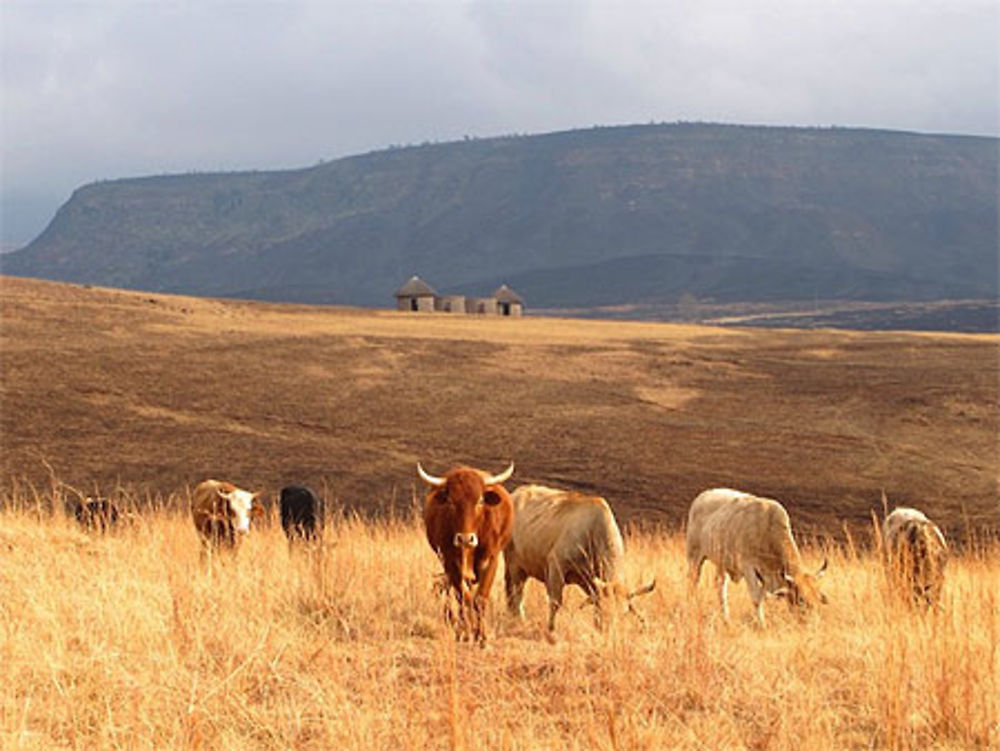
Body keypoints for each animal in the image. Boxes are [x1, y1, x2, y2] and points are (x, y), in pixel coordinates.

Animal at [420, 462, 516, 644]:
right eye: (451, 501)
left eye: (480, 501)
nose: (465, 539)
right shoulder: (450, 562)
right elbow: (464, 597)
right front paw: (466, 631)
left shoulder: (491, 560)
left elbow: (480, 598)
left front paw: (482, 636)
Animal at [688, 488, 828, 628]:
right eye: (801, 600)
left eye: (819, 598)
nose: (813, 624)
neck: (767, 527)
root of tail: (703, 496)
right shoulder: (748, 567)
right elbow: (756, 598)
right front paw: (762, 625)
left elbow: (762, 597)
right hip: (694, 557)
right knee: (693, 583)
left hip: (721, 564)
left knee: (720, 588)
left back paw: (726, 618)